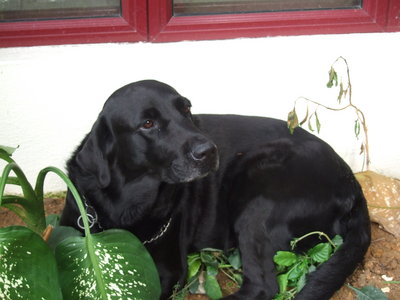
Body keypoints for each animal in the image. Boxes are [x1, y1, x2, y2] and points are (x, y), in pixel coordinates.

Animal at [61, 79, 370, 300]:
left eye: (186, 109)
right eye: (148, 123)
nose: (209, 151)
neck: (128, 206)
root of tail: (352, 184)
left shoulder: (167, 271)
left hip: (255, 192)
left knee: (262, 286)